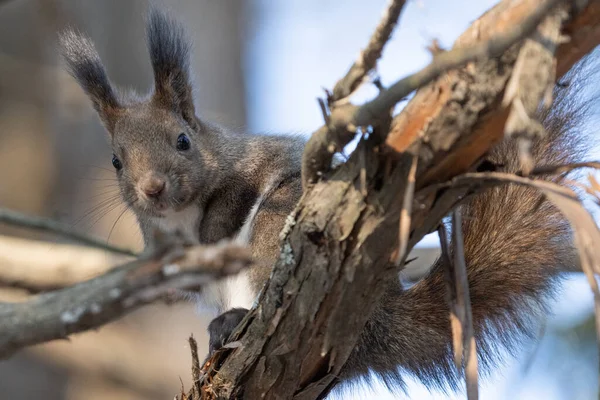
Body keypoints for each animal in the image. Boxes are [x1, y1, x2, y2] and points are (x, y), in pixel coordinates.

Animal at [62, 8, 592, 394]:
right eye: (116, 161)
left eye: (183, 141)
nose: (151, 188)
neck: (183, 216)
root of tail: (378, 323)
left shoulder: (256, 166)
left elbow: (235, 202)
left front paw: (214, 229)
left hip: (273, 238)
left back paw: (232, 322)